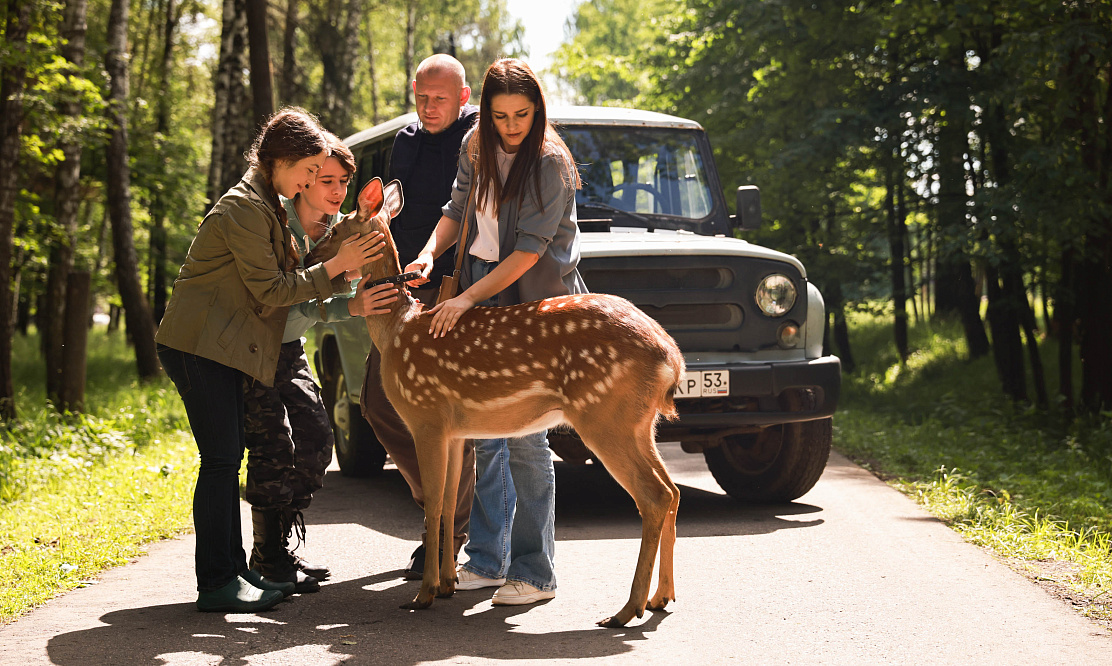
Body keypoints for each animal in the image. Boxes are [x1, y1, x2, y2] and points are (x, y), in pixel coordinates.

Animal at [309, 171, 680, 627]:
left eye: (336, 229)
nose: (309, 252)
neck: (398, 331)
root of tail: (671, 356)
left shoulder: (425, 416)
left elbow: (433, 502)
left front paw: (423, 594)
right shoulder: (453, 430)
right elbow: (451, 502)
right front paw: (448, 584)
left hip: (605, 415)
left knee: (654, 496)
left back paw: (626, 610)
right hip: (639, 422)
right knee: (671, 491)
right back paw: (661, 598)